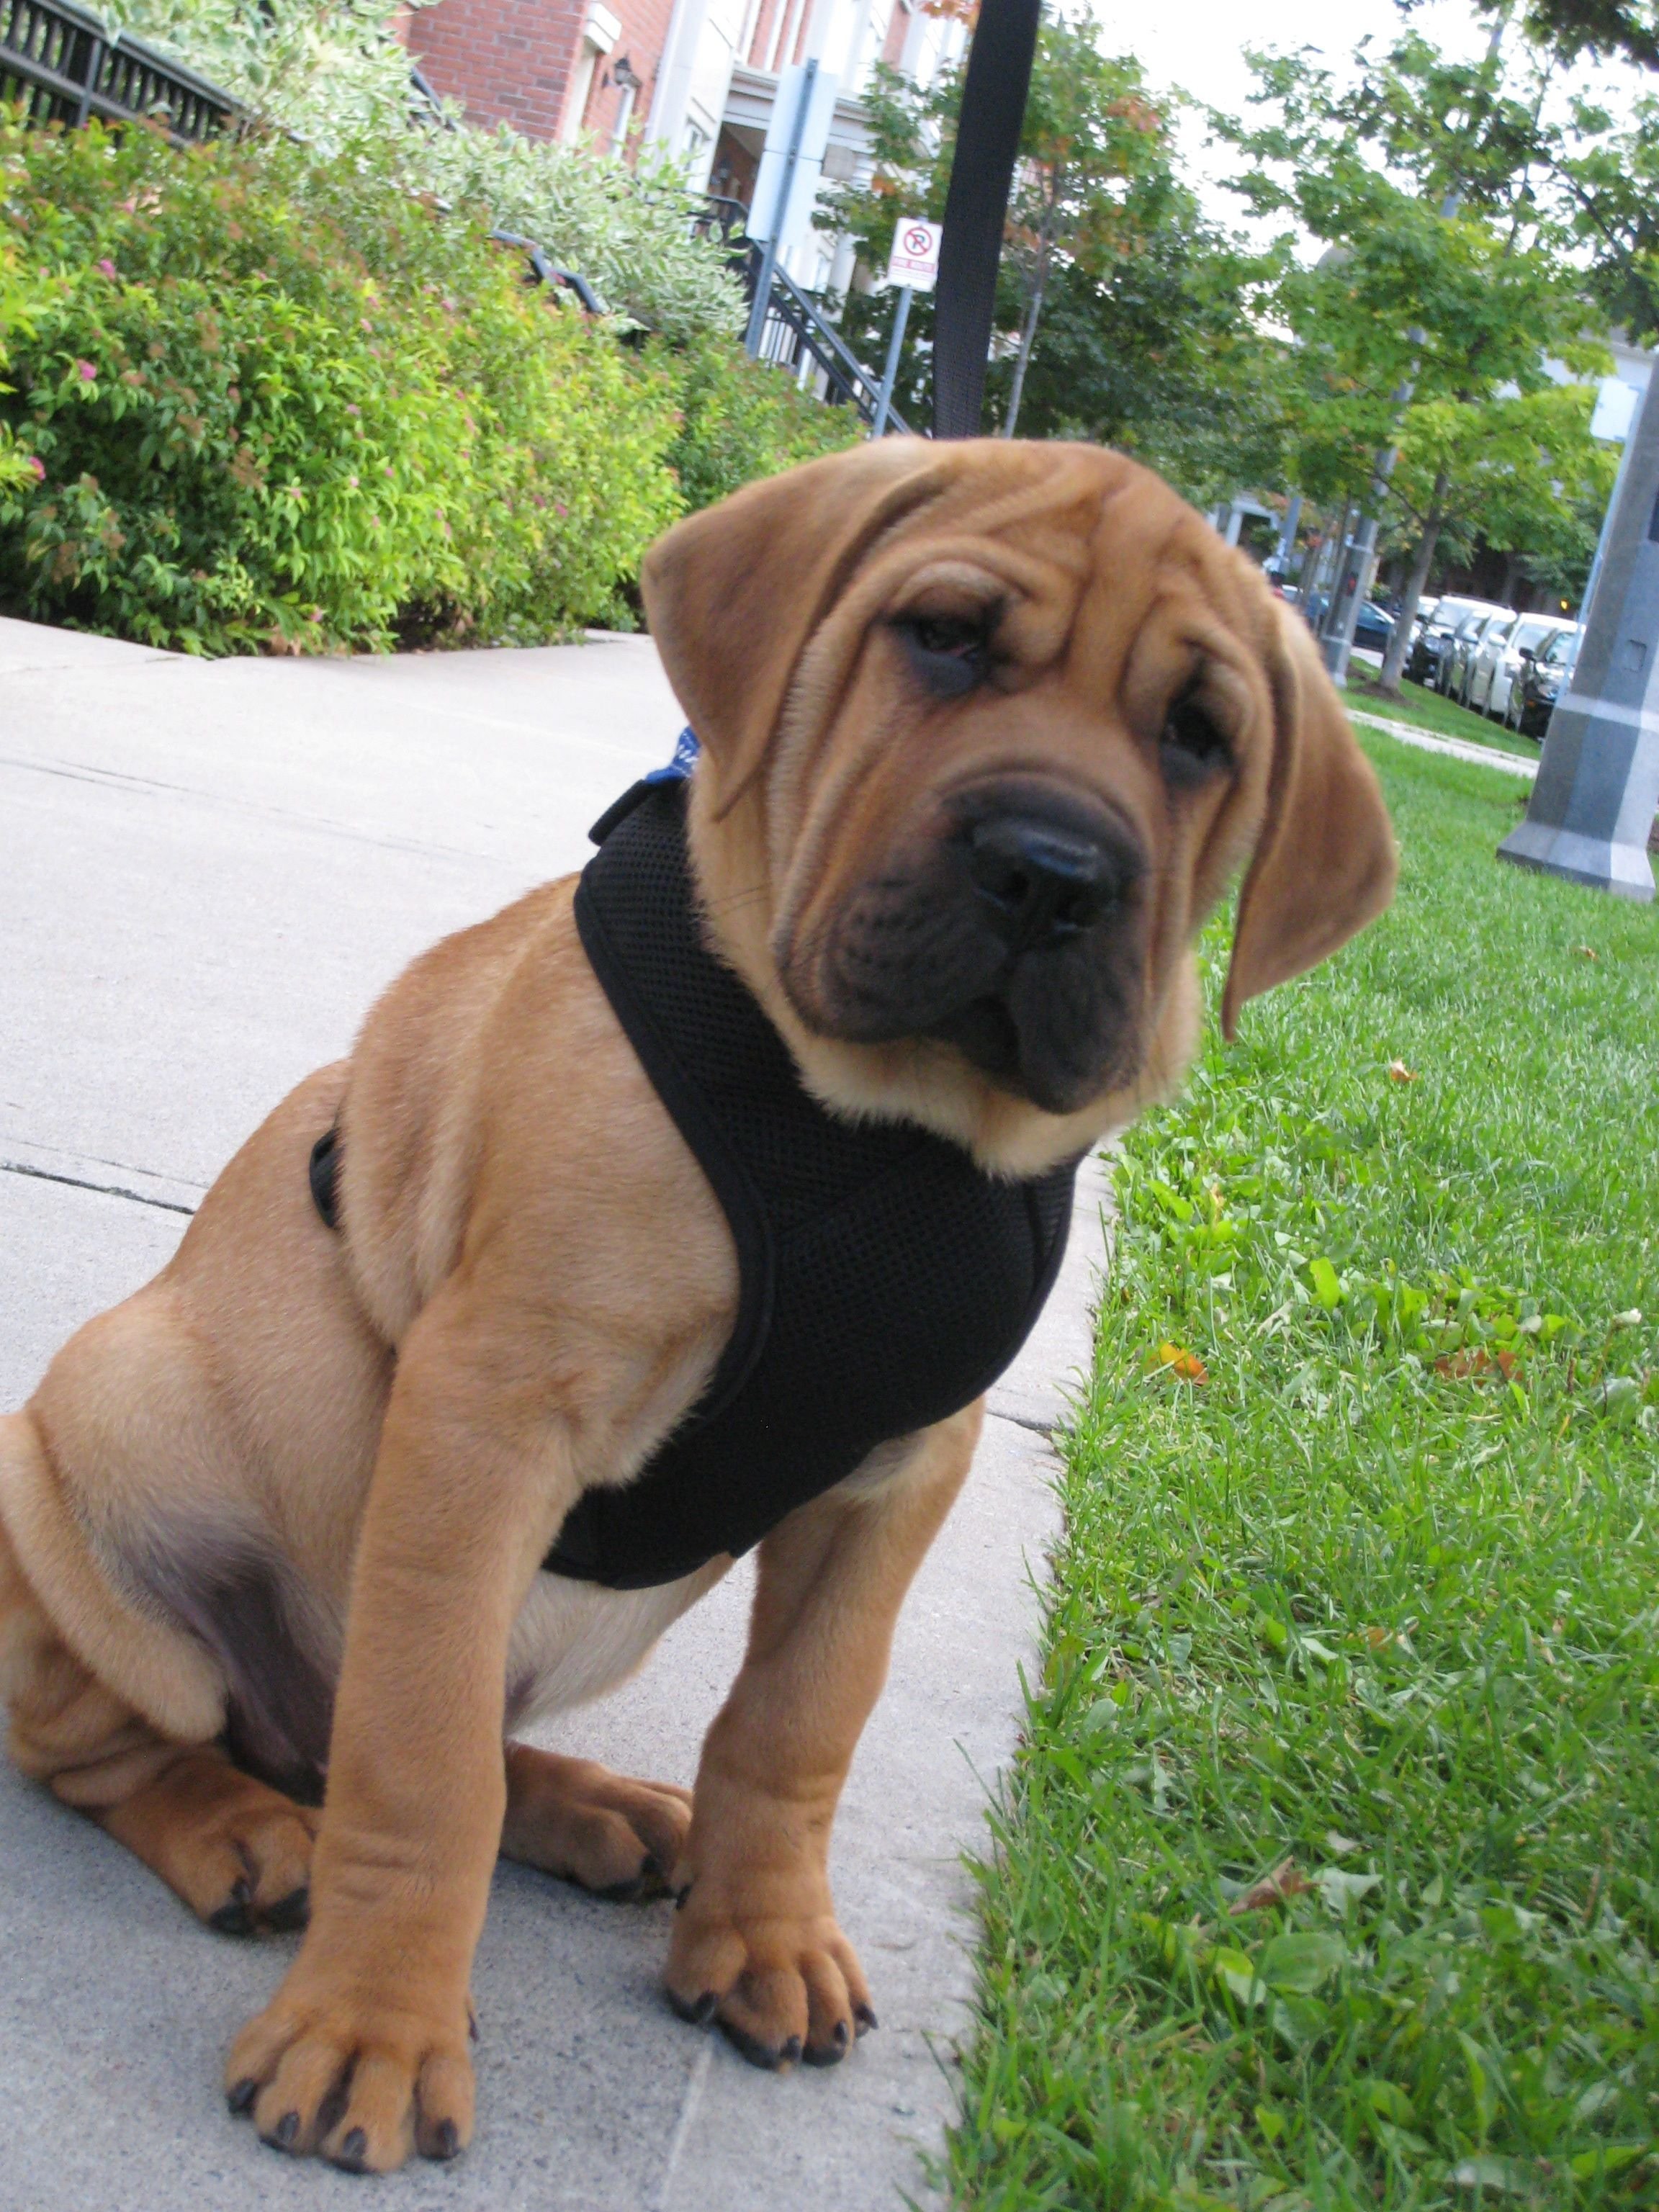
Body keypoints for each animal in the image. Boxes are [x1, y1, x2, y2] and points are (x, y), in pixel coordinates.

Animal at [0, 438, 1395, 2174]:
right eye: (942, 639)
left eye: (1200, 735)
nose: (1050, 873)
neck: (882, 1128)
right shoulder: (486, 1408)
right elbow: (419, 1767)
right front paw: (371, 2029)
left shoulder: (899, 1469)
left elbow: (794, 1724)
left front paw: (767, 1934)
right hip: (95, 1439)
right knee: (134, 1740)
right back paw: (244, 1830)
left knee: (427, 1723)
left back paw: (591, 1809)